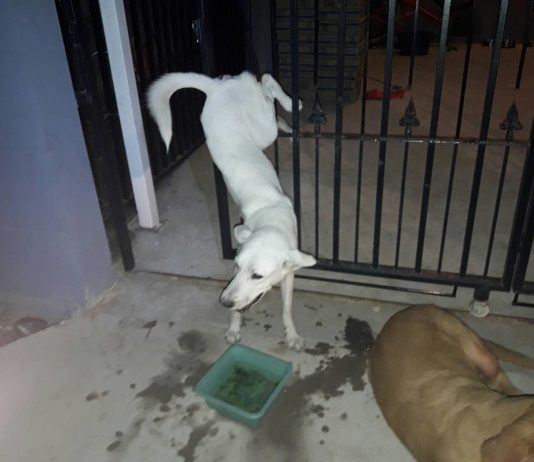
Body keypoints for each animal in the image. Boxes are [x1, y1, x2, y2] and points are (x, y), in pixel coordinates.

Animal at [147, 71, 316, 351]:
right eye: (236, 266)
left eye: (258, 276)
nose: (223, 302)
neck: (269, 218)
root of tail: (216, 87)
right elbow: (239, 310)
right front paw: (234, 328)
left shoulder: (289, 276)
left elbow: (287, 308)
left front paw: (292, 334)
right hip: (261, 127)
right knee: (265, 84)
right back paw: (290, 108)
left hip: (263, 128)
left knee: (266, 85)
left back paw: (291, 108)